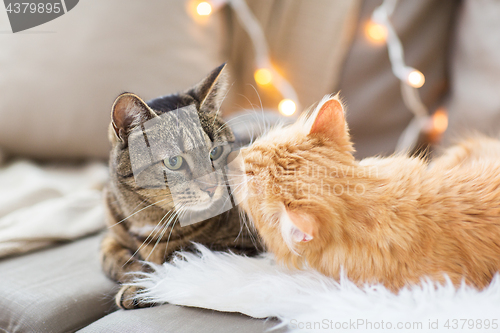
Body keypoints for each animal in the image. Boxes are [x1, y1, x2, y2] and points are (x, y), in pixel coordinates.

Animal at [100, 63, 262, 308]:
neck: (149, 217)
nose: (211, 188)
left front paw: (144, 287)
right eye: (173, 161)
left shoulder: (242, 245)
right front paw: (138, 276)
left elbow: (181, 259)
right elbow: (112, 259)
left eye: (215, 152)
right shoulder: (110, 235)